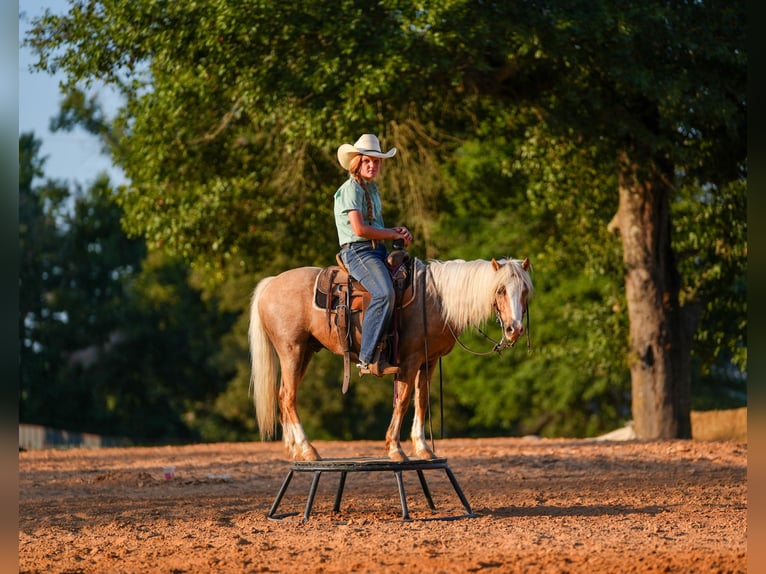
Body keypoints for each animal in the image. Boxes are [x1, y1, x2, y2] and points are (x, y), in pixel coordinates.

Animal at [248, 256, 532, 461]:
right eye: (500, 290)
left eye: (525, 291)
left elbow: (422, 400)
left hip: (305, 351)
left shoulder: (428, 361)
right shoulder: (410, 361)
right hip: (292, 350)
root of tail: (271, 283)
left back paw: (294, 449)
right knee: (288, 397)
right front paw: (396, 449)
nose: (514, 329)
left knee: (282, 395)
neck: (435, 300)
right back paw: (307, 449)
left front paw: (423, 448)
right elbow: (403, 401)